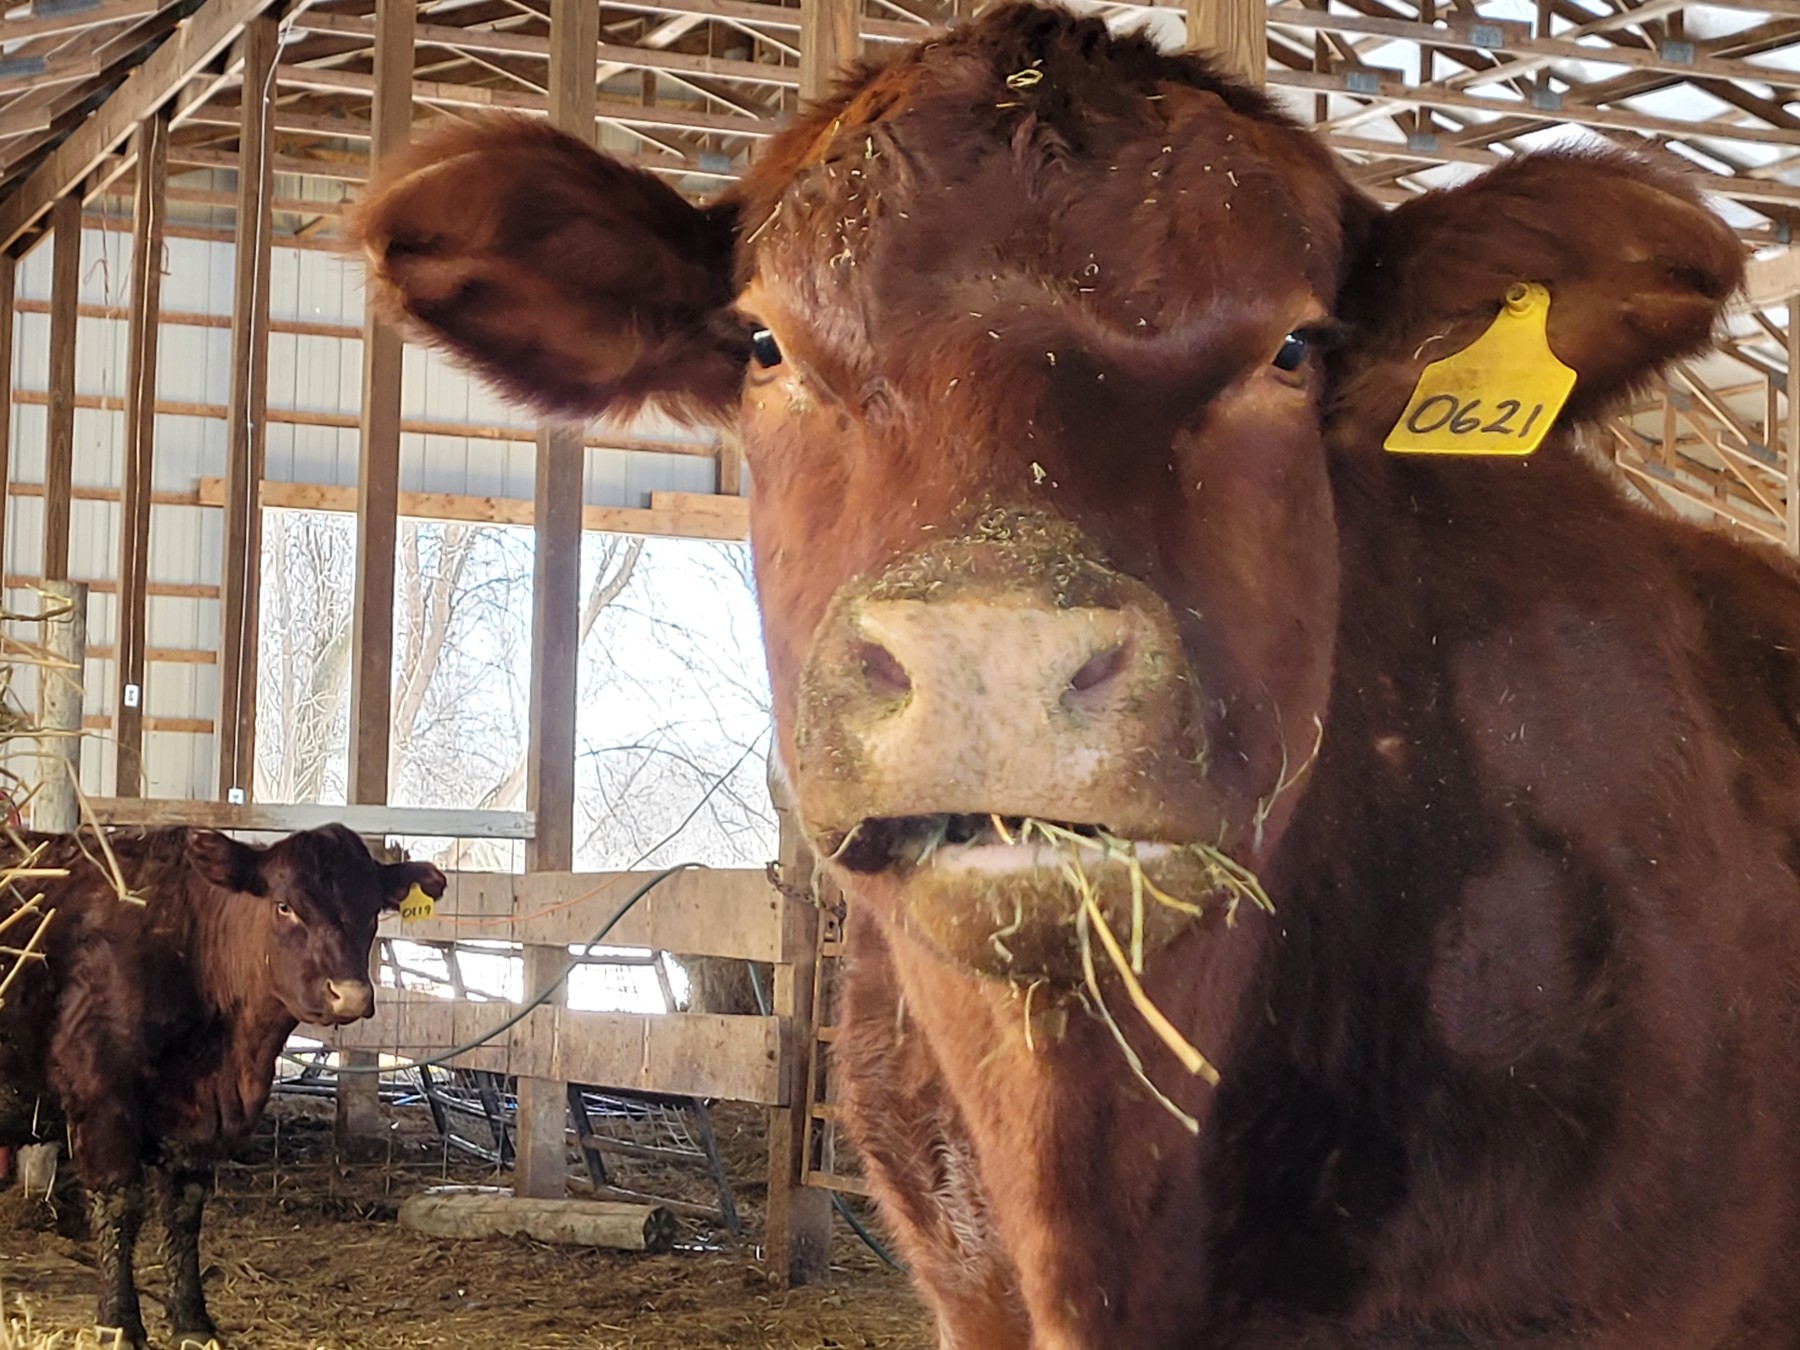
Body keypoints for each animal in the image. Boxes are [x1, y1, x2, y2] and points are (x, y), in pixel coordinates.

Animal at [0, 825, 445, 1346]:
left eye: (372, 909)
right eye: (284, 905)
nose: (350, 995)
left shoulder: (196, 1117)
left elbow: (184, 1209)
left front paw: (193, 1320)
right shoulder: (102, 1096)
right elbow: (120, 1205)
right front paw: (119, 1322)